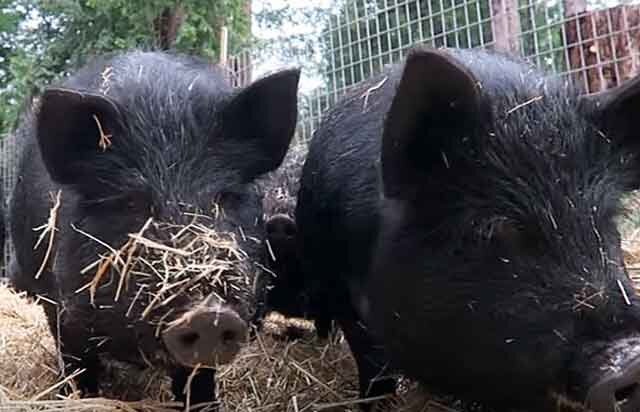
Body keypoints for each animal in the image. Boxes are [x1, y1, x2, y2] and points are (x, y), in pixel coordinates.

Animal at [10, 50, 300, 408]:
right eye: (132, 202)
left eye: (225, 197)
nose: (208, 313)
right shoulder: (61, 308)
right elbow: (76, 363)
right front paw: (79, 396)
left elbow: (198, 378)